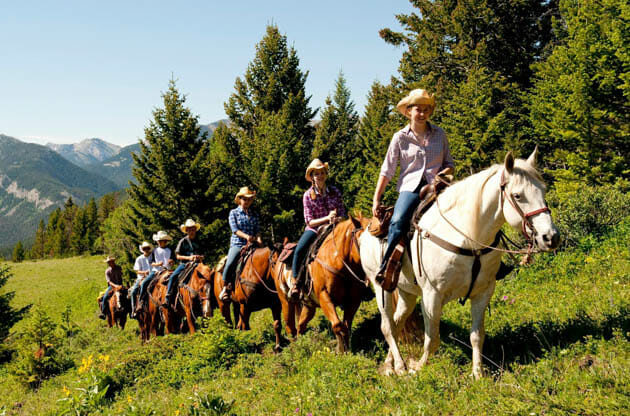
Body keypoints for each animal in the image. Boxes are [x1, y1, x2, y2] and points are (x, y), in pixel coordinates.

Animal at [296, 216, 372, 352]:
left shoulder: (354, 299)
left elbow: (346, 325)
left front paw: (346, 349)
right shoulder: (324, 296)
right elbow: (337, 325)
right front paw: (340, 350)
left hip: (309, 306)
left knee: (301, 324)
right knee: (300, 325)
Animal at [360, 150, 564, 376]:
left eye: (543, 190)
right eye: (518, 195)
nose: (551, 237)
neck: (467, 236)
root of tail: (366, 231)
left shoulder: (483, 293)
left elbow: (477, 336)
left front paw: (477, 373)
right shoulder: (431, 296)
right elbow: (432, 339)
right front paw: (418, 368)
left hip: (407, 292)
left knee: (397, 322)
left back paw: (390, 363)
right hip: (381, 287)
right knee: (387, 326)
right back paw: (399, 366)